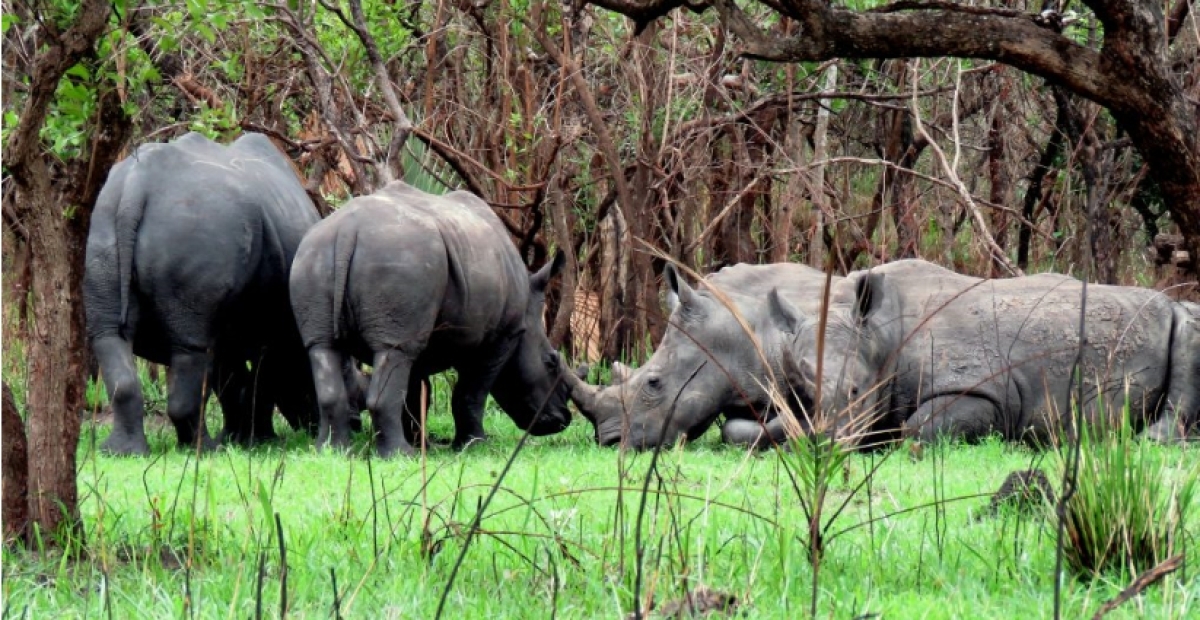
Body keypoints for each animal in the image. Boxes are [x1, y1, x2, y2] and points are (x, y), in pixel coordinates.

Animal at [85, 132, 337, 455]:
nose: (312, 425)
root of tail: (134, 187)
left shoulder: (231, 329)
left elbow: (230, 381)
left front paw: (236, 439)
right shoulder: (273, 328)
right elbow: (258, 381)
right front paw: (259, 440)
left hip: (104, 227)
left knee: (112, 336)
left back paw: (123, 452)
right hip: (196, 223)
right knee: (192, 347)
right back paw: (203, 449)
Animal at [289, 181, 572, 457]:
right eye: (550, 363)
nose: (562, 420)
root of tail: (348, 229)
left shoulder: (418, 328)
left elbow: (415, 392)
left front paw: (423, 445)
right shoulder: (502, 337)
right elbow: (471, 393)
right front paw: (473, 446)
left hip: (312, 257)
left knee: (324, 347)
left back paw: (332, 452)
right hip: (400, 258)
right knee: (390, 351)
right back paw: (399, 456)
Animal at [777, 259, 1200, 446]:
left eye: (854, 390)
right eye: (803, 395)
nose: (824, 444)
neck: (880, 334)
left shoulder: (984, 389)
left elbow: (916, 429)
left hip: (1179, 315)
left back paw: (1150, 440)